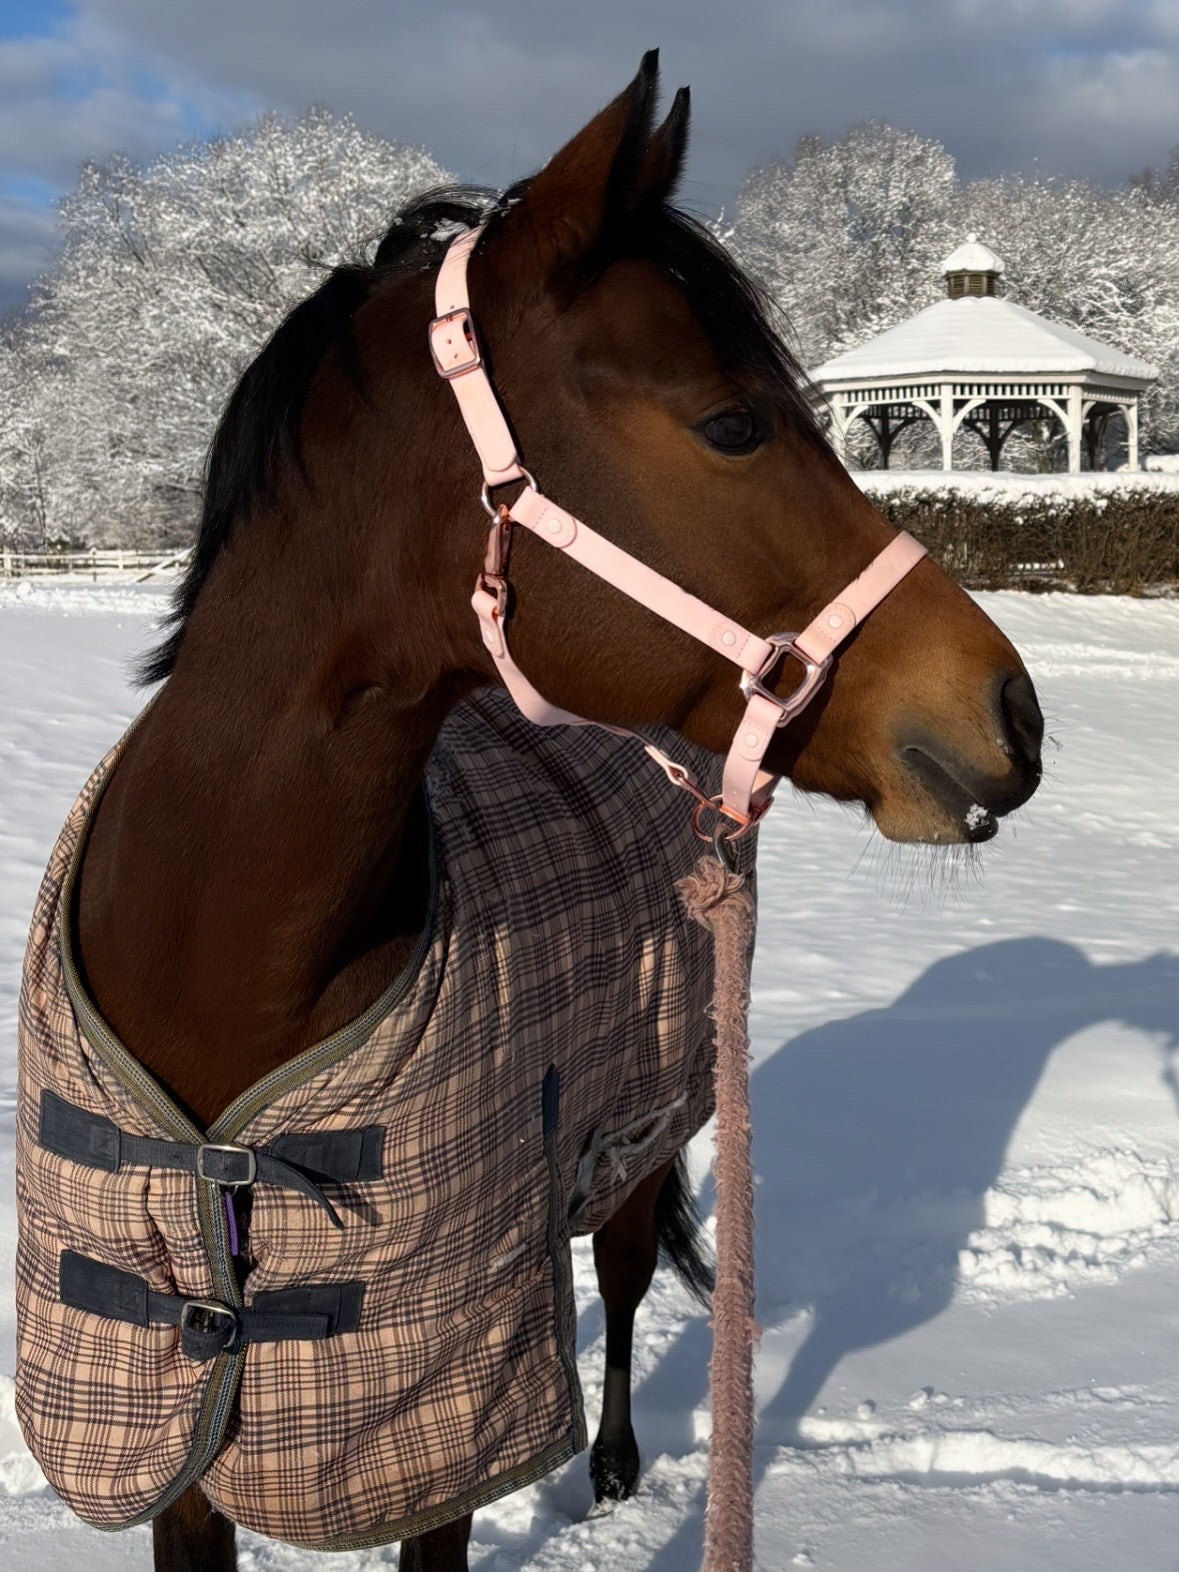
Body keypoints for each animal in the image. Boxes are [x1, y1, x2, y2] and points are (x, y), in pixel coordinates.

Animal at [17, 52, 1042, 1572]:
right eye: (732, 421)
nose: (1010, 714)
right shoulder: (165, 1438)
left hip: (641, 1134)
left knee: (614, 1279)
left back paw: (612, 1465)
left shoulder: (441, 1430)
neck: (223, 959)